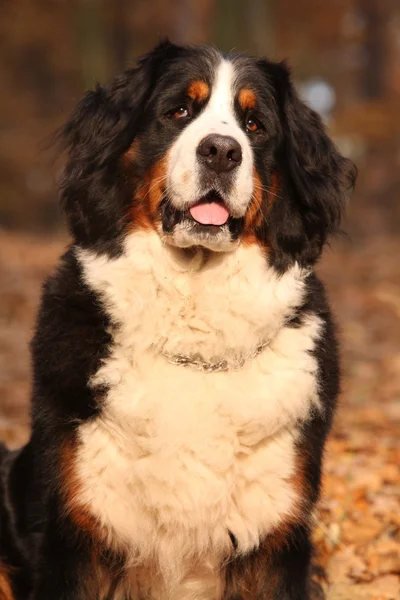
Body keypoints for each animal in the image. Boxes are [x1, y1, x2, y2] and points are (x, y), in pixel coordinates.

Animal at [0, 39, 356, 596]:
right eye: (179, 112)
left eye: (255, 125)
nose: (222, 151)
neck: (195, 335)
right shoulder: (80, 528)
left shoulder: (273, 535)